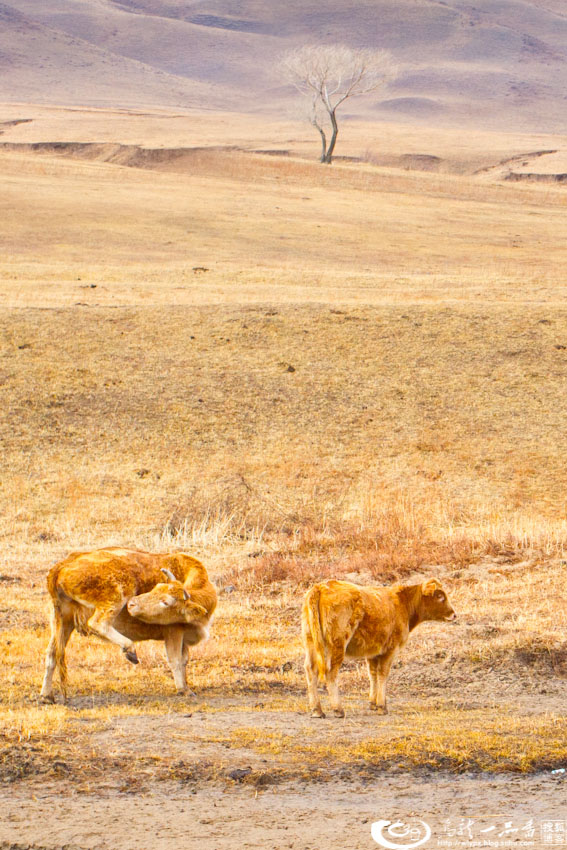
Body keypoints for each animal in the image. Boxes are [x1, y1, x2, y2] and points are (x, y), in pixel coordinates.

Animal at [40, 548, 217, 700]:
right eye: (156, 588)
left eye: (165, 601)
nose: (132, 604)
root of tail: (63, 565)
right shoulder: (173, 632)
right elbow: (176, 659)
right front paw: (184, 690)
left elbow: (184, 659)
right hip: (118, 593)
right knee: (98, 623)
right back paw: (130, 651)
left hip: (62, 620)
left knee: (52, 653)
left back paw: (46, 695)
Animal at [302, 576, 458, 716]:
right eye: (439, 596)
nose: (454, 614)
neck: (403, 603)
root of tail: (321, 587)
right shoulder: (391, 649)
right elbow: (383, 673)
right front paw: (382, 706)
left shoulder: (372, 651)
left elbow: (373, 674)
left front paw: (373, 703)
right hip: (337, 644)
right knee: (331, 672)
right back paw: (338, 709)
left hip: (311, 641)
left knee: (311, 670)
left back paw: (317, 710)